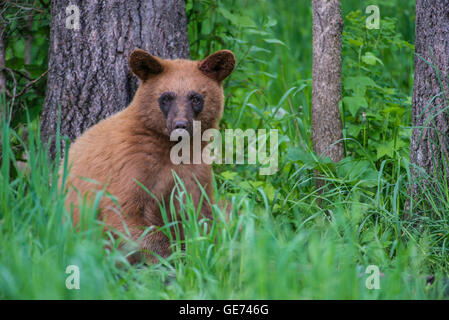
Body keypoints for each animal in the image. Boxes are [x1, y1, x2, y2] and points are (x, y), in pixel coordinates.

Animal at [62, 47, 236, 262]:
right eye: (166, 97)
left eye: (195, 98)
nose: (180, 125)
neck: (172, 148)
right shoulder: (131, 164)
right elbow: (125, 213)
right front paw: (169, 258)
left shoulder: (196, 172)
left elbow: (204, 215)